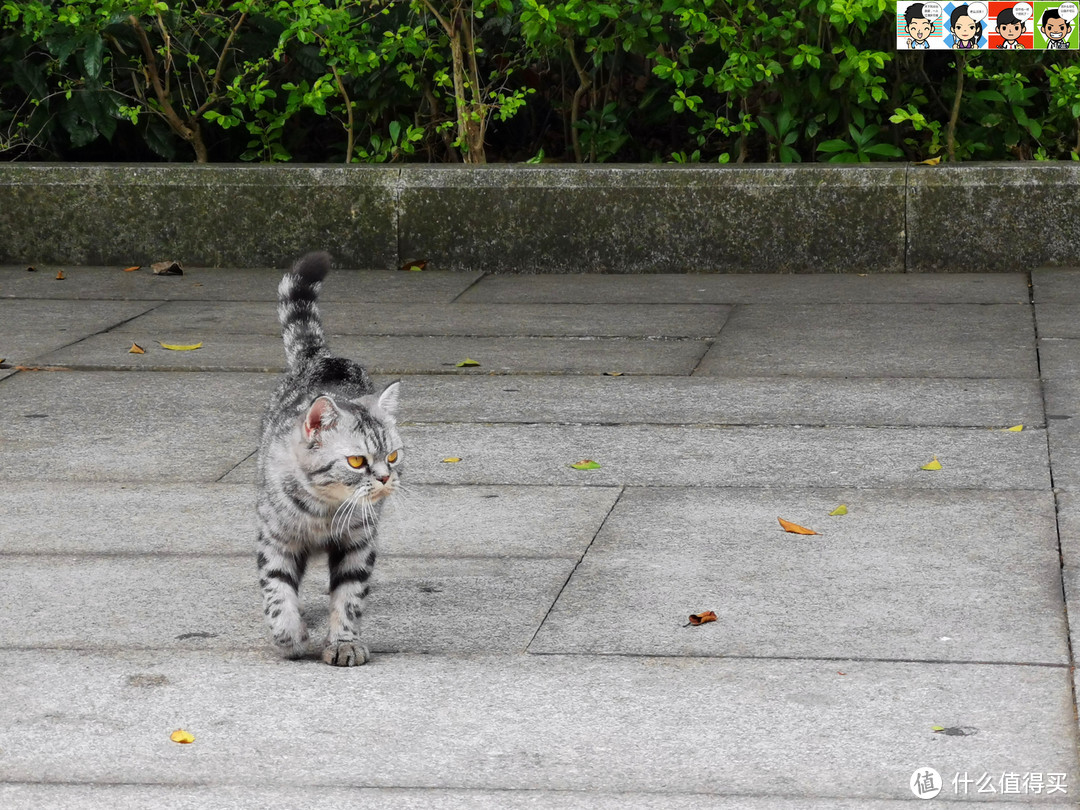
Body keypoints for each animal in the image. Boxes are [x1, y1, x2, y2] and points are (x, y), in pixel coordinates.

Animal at [254, 252, 403, 665]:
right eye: (356, 462)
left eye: (392, 456)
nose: (385, 478)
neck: (324, 511)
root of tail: (324, 358)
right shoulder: (276, 540)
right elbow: (277, 591)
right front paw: (290, 636)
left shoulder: (359, 544)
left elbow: (348, 597)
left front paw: (344, 642)